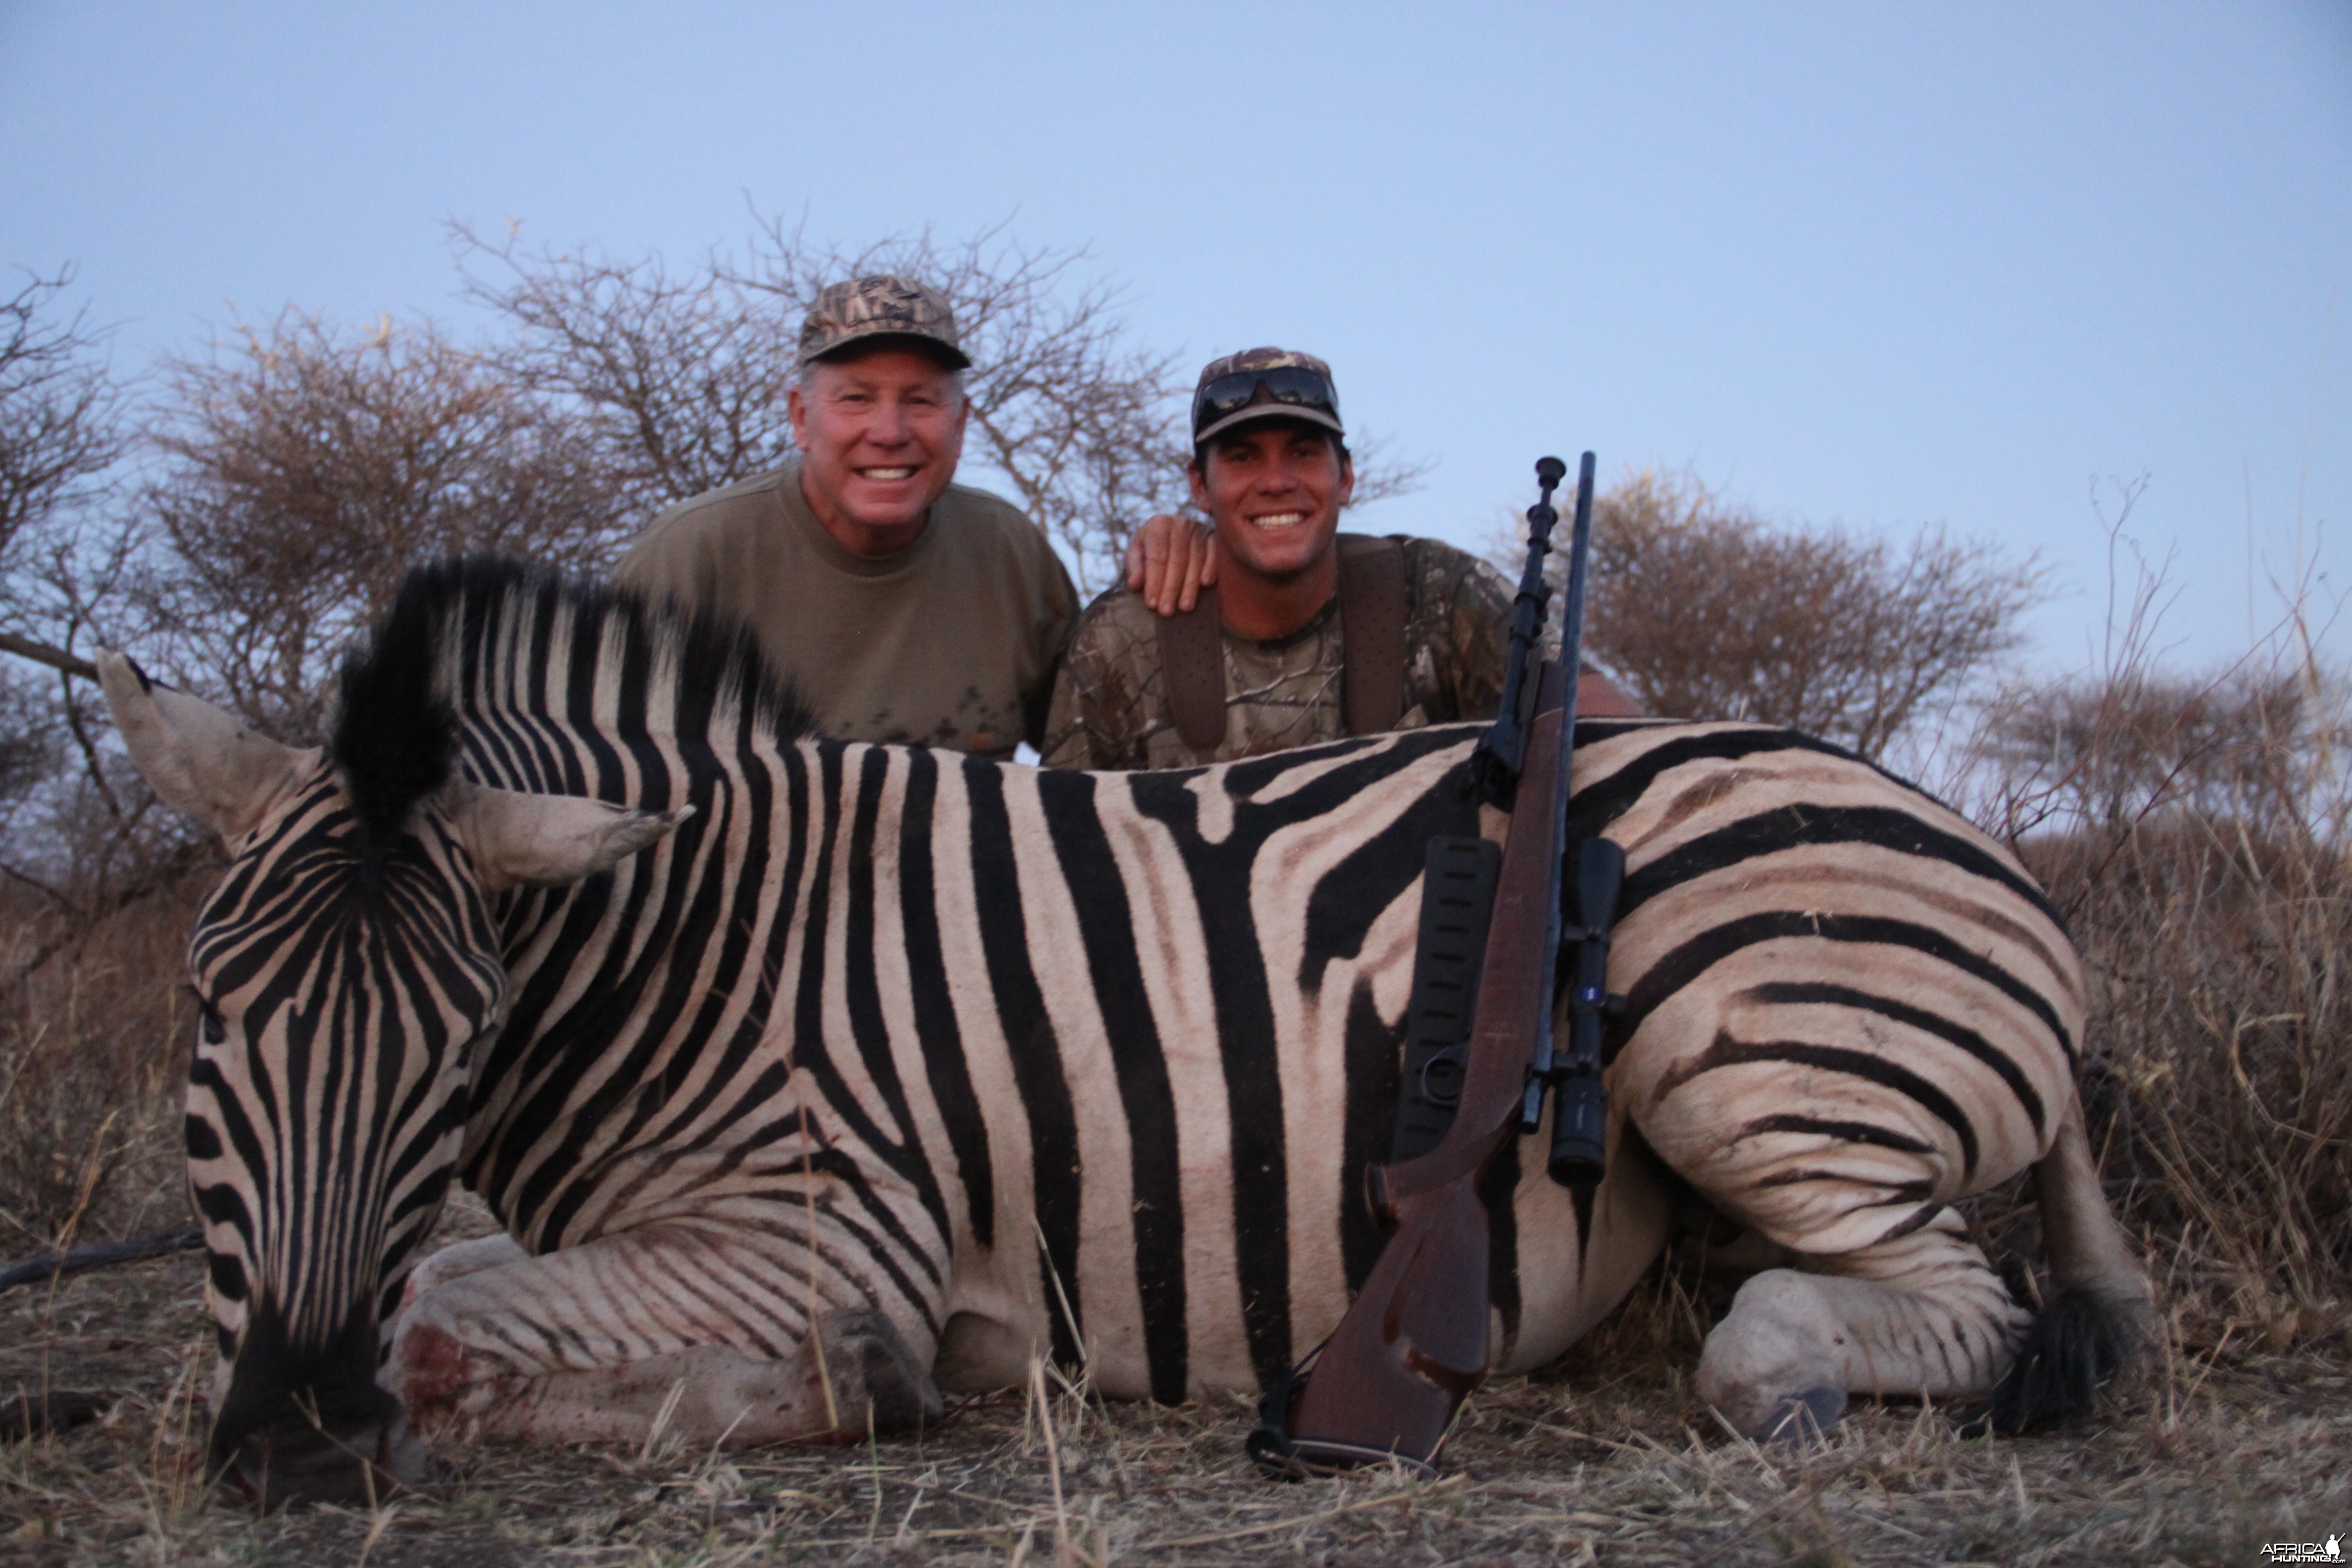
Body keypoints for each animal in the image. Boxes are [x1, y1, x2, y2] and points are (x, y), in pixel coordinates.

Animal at [96, 557, 2154, 1504]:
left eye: (457, 1043)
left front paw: (859, 1383)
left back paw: (1783, 1365)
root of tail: (1991, 858)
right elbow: (439, 1282)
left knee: (1931, 1309)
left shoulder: (814, 1232)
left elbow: (447, 1318)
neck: (695, 932)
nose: (289, 1442)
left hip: (1753, 1052)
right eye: (207, 1014)